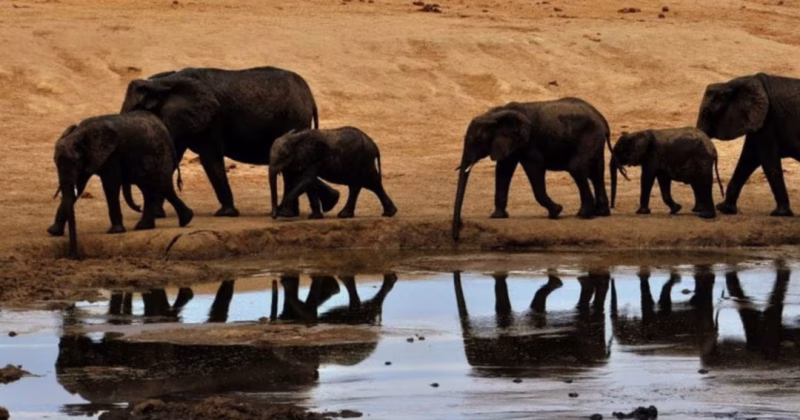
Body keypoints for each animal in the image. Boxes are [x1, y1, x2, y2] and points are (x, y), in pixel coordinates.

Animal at [47, 111, 194, 258]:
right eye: (55, 162)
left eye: (74, 163)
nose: (74, 256)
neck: (80, 133)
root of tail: (165, 130)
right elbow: (79, 186)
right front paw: (53, 232)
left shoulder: (112, 155)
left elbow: (110, 184)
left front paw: (115, 231)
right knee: (150, 189)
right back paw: (145, 226)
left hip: (159, 153)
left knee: (162, 185)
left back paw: (186, 219)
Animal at [120, 66, 340, 218]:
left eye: (135, 111)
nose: (139, 207)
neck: (163, 82)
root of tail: (310, 96)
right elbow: (172, 159)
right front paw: (157, 215)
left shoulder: (211, 119)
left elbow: (209, 159)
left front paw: (225, 214)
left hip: (295, 119)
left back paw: (288, 213)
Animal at [269, 127, 397, 219]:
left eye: (284, 156)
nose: (274, 216)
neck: (296, 138)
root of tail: (375, 146)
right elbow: (307, 183)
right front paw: (314, 217)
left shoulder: (314, 158)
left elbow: (307, 180)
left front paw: (283, 211)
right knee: (362, 185)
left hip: (365, 160)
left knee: (371, 183)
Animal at [452, 97, 616, 240]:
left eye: (478, 141)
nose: (456, 235)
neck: (495, 114)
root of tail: (602, 118)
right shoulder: (509, 142)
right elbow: (503, 170)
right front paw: (497, 216)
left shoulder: (528, 142)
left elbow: (534, 168)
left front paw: (556, 211)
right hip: (594, 139)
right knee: (596, 172)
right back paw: (601, 213)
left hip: (590, 136)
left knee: (577, 168)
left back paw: (583, 214)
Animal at [696, 73, 800, 216]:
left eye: (707, 113)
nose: (698, 211)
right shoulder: (757, 121)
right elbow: (748, 160)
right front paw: (724, 209)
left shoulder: (768, 120)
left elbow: (768, 161)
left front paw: (780, 213)